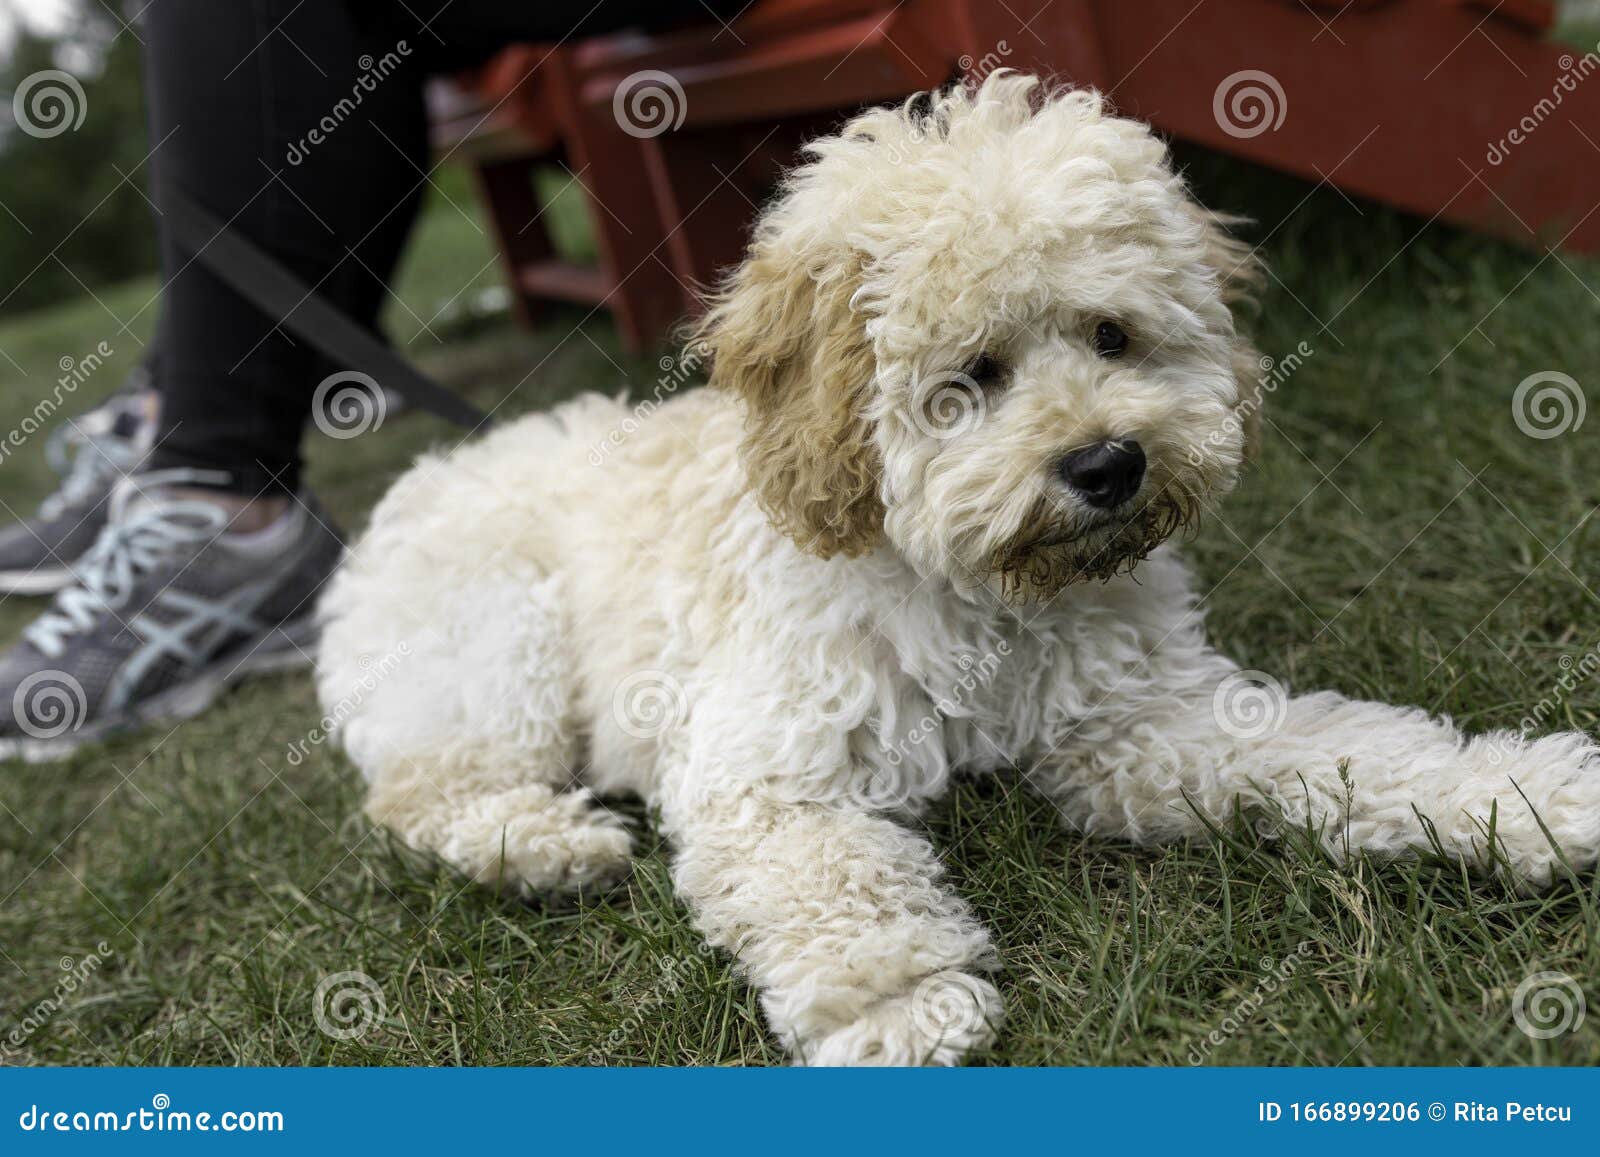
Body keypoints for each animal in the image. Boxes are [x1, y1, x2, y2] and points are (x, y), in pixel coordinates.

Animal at [312, 72, 1600, 1068]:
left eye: (1111, 335)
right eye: (970, 375)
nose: (1107, 462)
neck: (981, 593)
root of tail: (430, 474)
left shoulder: (1142, 724)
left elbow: (1339, 747)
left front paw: (1517, 796)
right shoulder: (766, 763)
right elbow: (829, 871)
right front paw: (903, 1002)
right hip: (491, 647)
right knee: (421, 789)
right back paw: (548, 846)